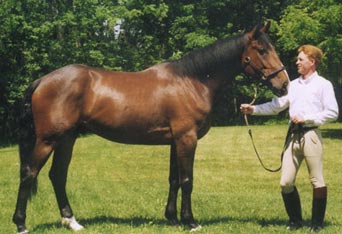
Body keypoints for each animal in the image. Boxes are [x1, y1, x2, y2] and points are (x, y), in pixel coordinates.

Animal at [12, 21, 288, 232]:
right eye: (262, 50)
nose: (284, 84)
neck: (192, 81)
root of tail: (42, 81)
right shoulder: (187, 138)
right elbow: (187, 179)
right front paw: (190, 222)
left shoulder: (176, 140)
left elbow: (174, 179)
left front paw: (172, 218)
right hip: (48, 140)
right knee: (29, 173)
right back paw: (21, 224)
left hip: (67, 139)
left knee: (57, 176)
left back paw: (72, 222)